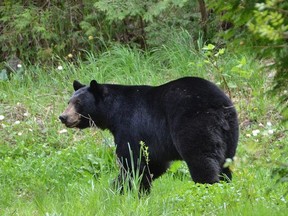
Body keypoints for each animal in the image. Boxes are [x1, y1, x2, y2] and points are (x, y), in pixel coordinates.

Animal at [59, 77, 238, 192]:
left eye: (78, 103)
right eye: (68, 101)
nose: (63, 117)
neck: (113, 113)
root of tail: (218, 106)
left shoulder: (131, 127)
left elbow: (132, 162)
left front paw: (120, 190)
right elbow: (153, 164)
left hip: (194, 124)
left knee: (201, 160)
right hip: (230, 133)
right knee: (225, 163)